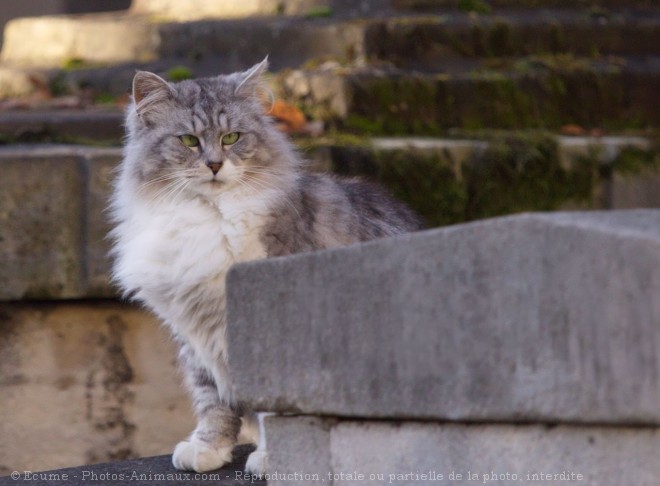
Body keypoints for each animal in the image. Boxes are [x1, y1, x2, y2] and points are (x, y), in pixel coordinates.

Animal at [109, 58, 422, 474]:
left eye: (231, 138)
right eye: (189, 141)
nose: (214, 165)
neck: (206, 217)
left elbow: (274, 406)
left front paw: (275, 458)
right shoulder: (195, 333)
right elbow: (213, 402)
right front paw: (207, 450)